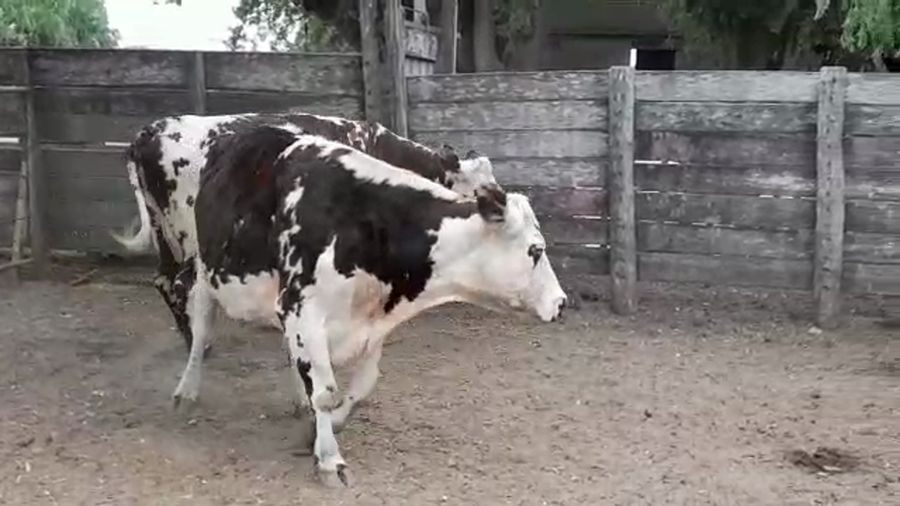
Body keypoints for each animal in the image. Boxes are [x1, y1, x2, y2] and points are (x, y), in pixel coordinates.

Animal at [112, 112, 497, 359]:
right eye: (478, 188)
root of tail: (147, 135)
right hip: (191, 236)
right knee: (180, 284)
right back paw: (199, 342)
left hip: (164, 233)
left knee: (164, 281)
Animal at [174, 125, 567, 487]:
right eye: (536, 250)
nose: (560, 302)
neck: (365, 224)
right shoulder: (304, 309)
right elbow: (325, 392)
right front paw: (329, 459)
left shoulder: (371, 320)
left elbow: (360, 387)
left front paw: (323, 428)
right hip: (204, 271)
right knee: (201, 329)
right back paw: (186, 391)